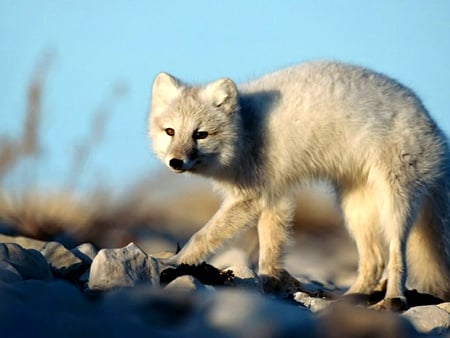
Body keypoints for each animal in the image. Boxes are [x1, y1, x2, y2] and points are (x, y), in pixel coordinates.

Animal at [149, 60, 450, 308]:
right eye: (170, 131)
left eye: (200, 134)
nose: (175, 162)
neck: (246, 131)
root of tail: (435, 128)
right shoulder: (275, 198)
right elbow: (270, 251)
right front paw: (270, 285)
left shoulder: (253, 198)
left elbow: (203, 235)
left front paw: (174, 262)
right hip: (354, 209)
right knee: (375, 261)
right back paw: (350, 298)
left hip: (394, 204)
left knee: (397, 256)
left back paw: (392, 299)